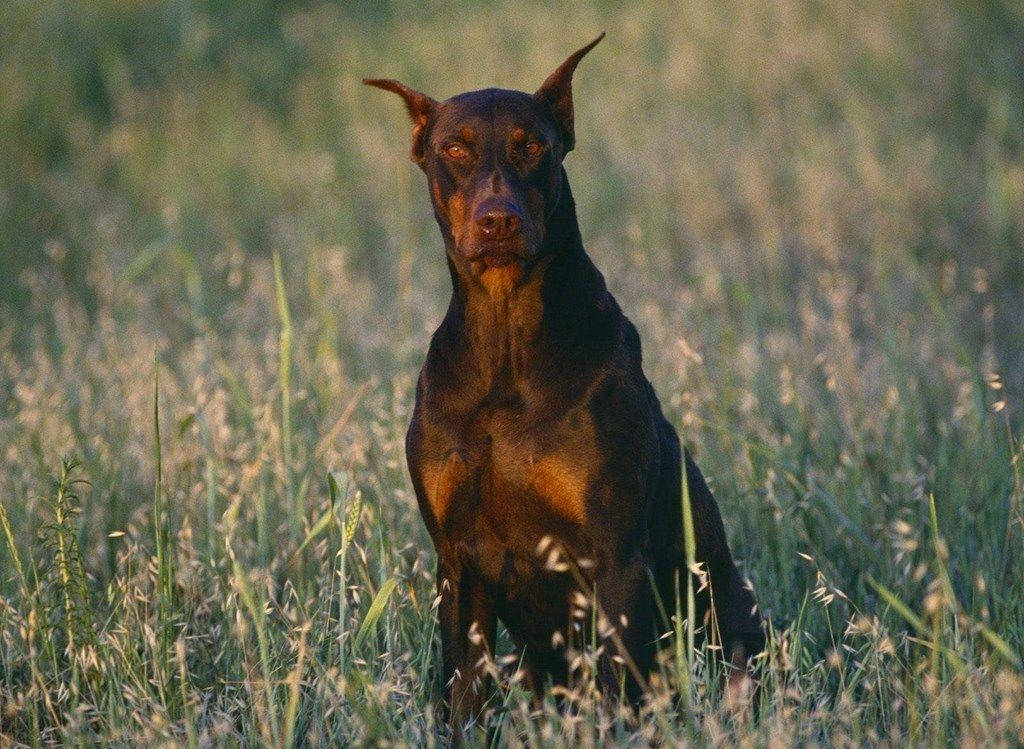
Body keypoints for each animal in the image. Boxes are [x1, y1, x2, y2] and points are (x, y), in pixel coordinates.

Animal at [366, 33, 761, 733]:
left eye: (534, 146)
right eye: (454, 150)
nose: (497, 220)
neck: (506, 353)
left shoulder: (614, 558)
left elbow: (618, 692)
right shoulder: (456, 563)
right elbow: (462, 692)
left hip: (736, 623)